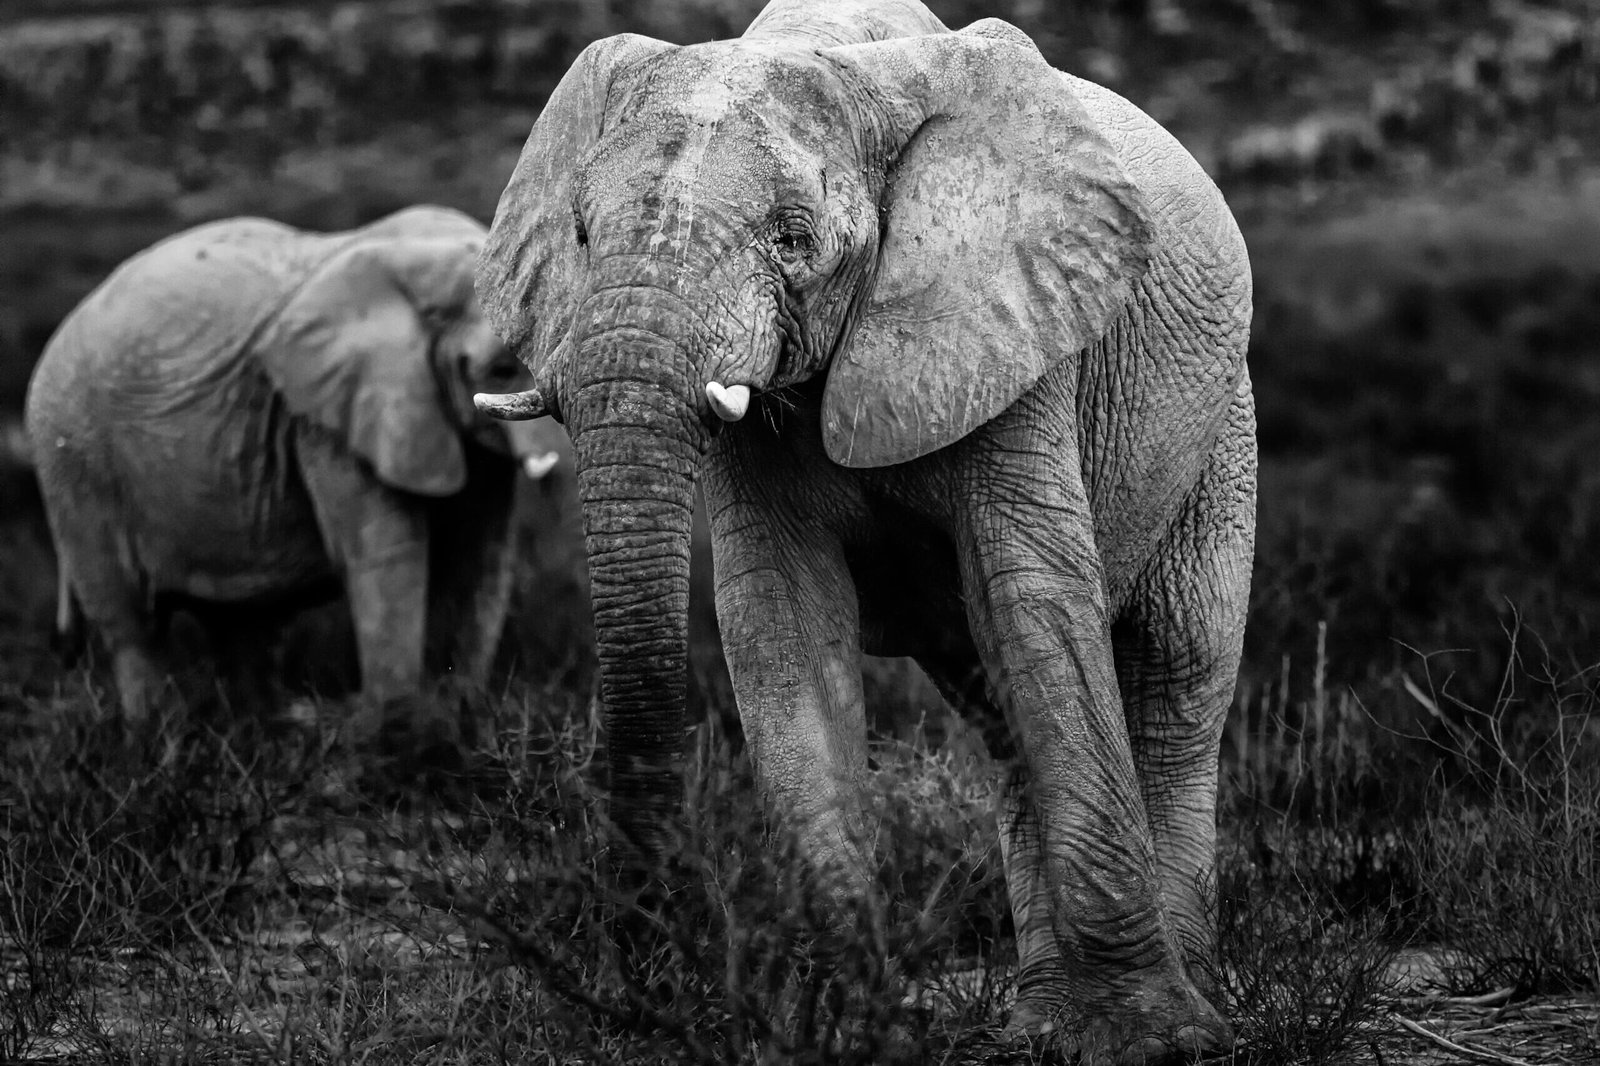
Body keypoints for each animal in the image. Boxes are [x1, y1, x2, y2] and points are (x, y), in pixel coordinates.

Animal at [25, 205, 566, 728]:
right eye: (501, 369)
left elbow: (480, 555)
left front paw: (457, 717)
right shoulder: (327, 418)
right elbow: (388, 552)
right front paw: (395, 733)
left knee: (241, 623)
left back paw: (269, 725)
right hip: (74, 460)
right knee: (131, 622)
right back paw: (156, 733)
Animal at [476, 2, 1254, 1062]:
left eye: (794, 237)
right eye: (584, 233)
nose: (647, 977)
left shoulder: (1014, 327)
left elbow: (1035, 601)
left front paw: (1146, 1041)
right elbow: (782, 624)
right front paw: (846, 1025)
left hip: (1222, 435)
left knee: (1178, 675)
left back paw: (1183, 1010)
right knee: (999, 706)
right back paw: (1042, 1020)